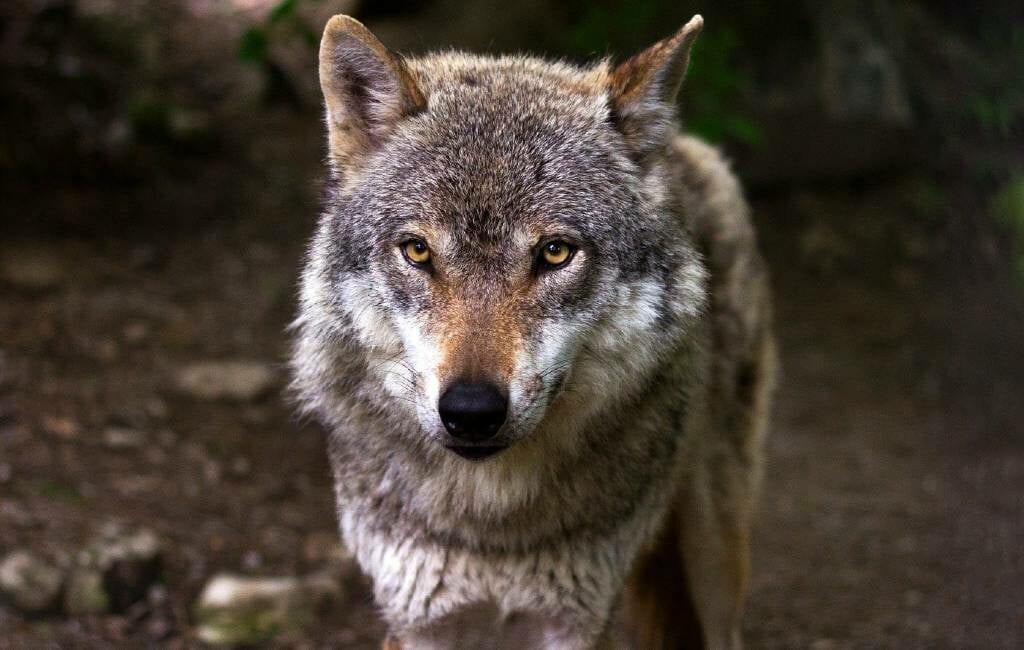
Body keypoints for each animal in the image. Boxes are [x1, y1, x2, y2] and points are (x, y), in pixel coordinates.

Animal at [290, 11, 774, 650]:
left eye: (555, 252)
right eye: (417, 250)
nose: (471, 410)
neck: (493, 524)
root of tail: (685, 147)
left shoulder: (577, 620)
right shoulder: (419, 619)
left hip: (714, 553)